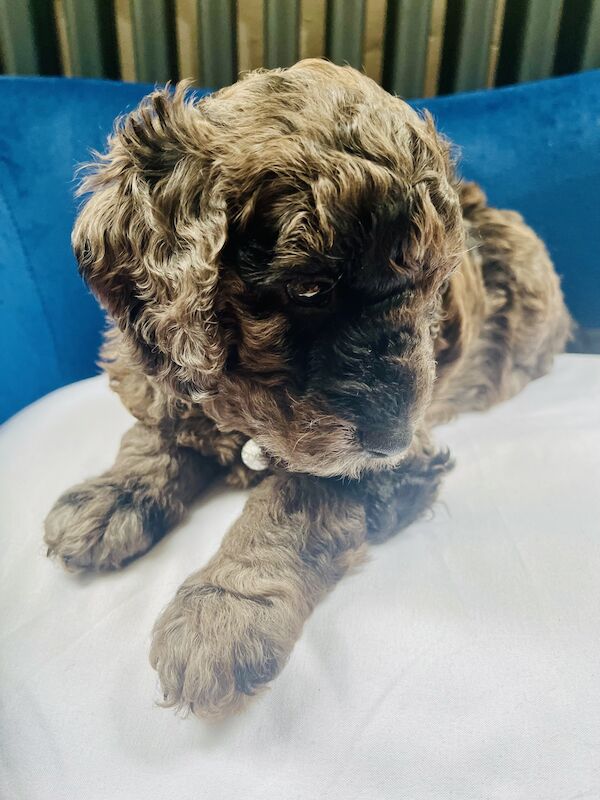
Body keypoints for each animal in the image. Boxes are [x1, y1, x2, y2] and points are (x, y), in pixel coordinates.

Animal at [43, 57, 572, 720]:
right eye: (309, 288)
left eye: (434, 286)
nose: (391, 436)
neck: (247, 413)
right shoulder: (164, 377)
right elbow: (157, 431)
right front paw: (110, 497)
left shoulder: (393, 463)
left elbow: (294, 502)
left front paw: (221, 612)